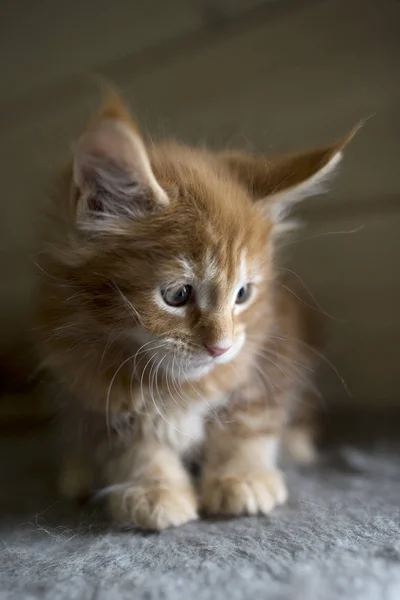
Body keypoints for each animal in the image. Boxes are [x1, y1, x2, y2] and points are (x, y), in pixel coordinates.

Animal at [34, 92, 354, 528]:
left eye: (243, 294)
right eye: (177, 295)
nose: (220, 348)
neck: (177, 385)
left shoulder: (270, 350)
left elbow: (249, 420)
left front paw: (242, 477)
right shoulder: (86, 381)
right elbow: (131, 445)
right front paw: (154, 489)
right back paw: (77, 472)